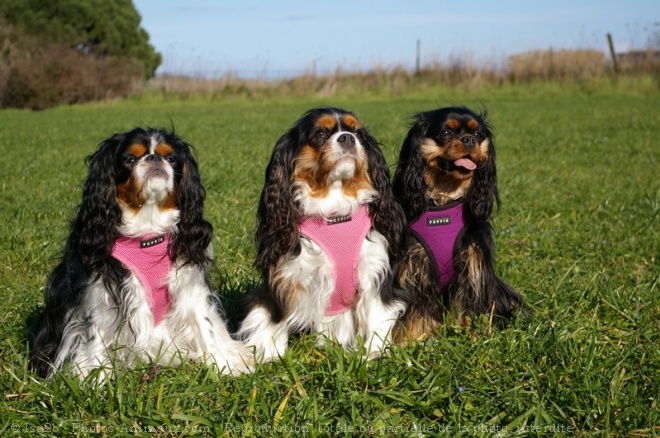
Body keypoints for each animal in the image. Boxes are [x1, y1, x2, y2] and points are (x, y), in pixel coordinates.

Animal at [28, 127, 251, 380]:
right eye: (130, 159)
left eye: (171, 158)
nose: (154, 158)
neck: (148, 232)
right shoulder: (102, 294)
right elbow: (96, 338)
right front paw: (97, 379)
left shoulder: (189, 285)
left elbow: (205, 327)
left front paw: (223, 366)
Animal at [241, 108, 408, 362]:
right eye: (320, 133)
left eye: (358, 133)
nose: (348, 138)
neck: (335, 213)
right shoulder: (286, 277)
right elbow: (275, 319)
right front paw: (271, 357)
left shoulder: (373, 274)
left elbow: (377, 317)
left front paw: (373, 356)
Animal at [392, 107, 524, 338]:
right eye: (446, 133)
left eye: (478, 134)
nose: (469, 140)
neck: (445, 196)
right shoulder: (415, 265)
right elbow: (416, 308)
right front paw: (413, 339)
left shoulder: (473, 262)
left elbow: (469, 305)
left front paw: (473, 336)